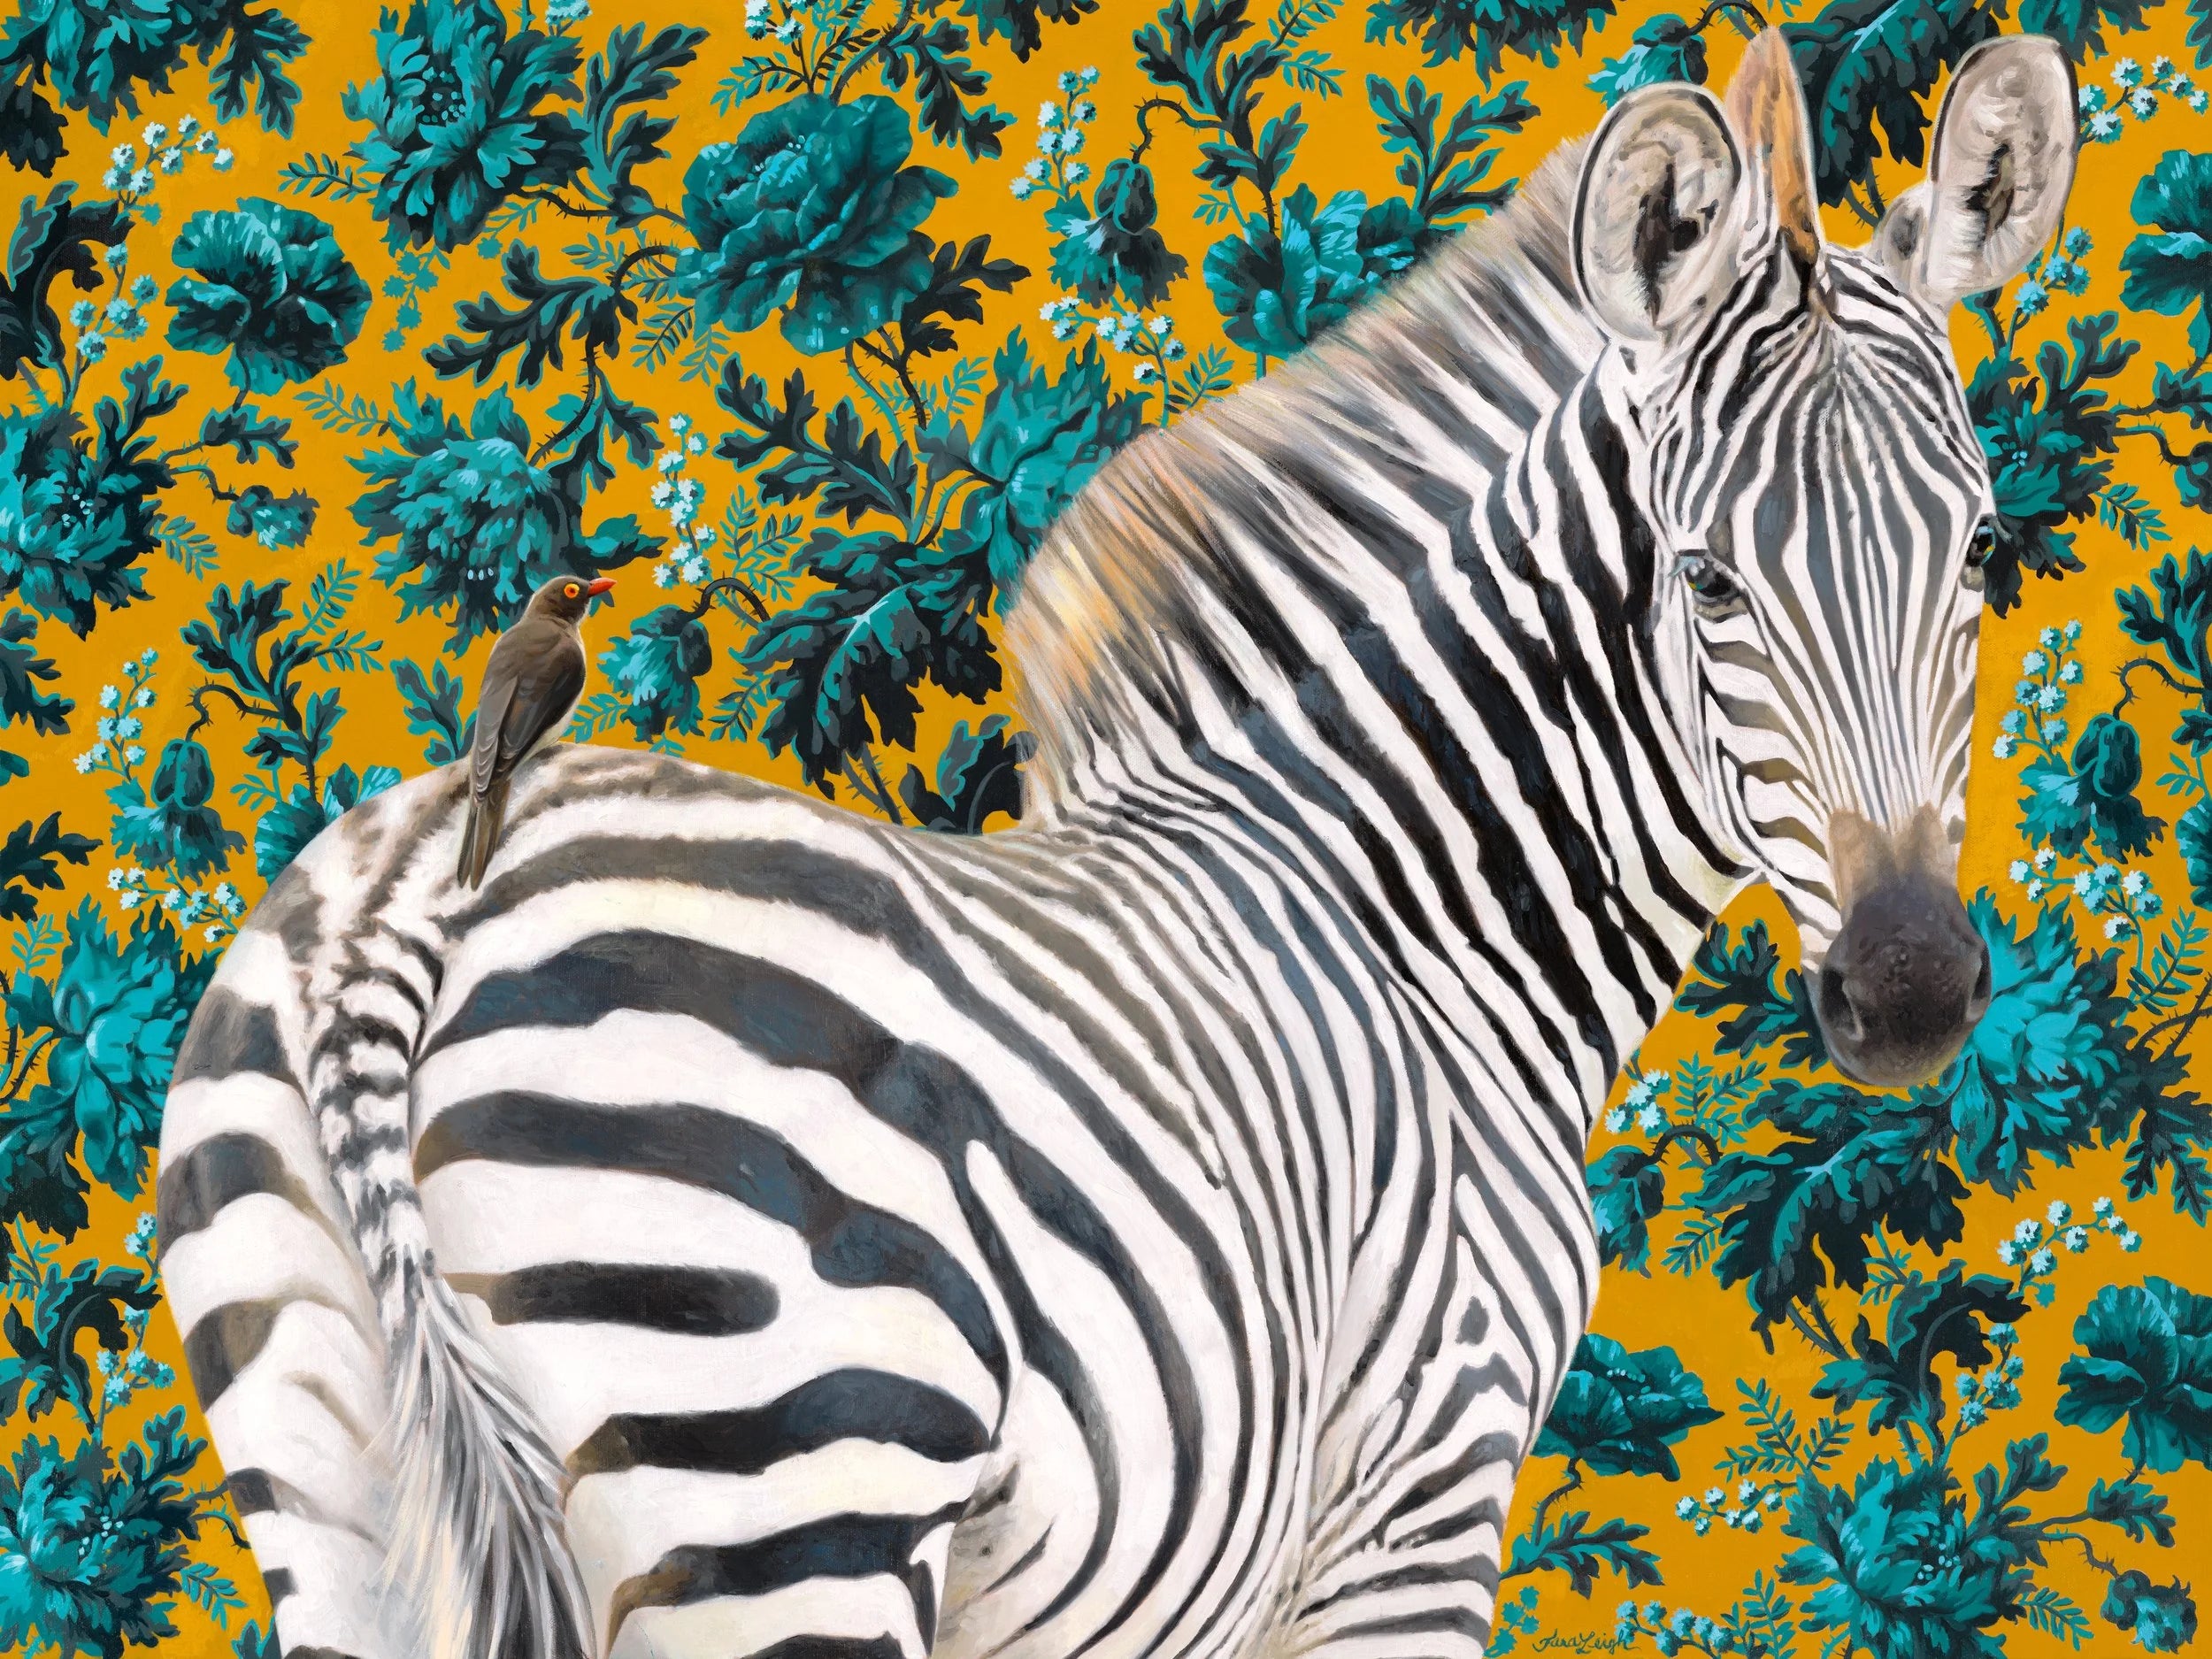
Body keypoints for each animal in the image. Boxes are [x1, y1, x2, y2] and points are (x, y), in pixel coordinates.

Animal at [155, 32, 2074, 1659]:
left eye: (1984, 556)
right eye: (1704, 579)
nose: (1910, 987)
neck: (1412, 919)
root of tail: (405, 911)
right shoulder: (1417, 1503)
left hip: (346, 1492)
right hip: (794, 1476)